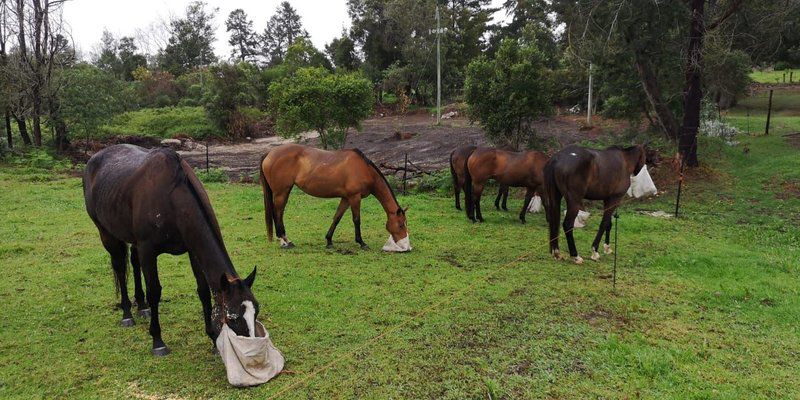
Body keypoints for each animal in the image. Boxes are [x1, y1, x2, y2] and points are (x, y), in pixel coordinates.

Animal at [81, 145, 258, 356]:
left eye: (256, 310)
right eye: (232, 317)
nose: (251, 350)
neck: (172, 200)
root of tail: (93, 160)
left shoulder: (192, 251)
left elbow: (203, 291)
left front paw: (212, 339)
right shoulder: (148, 250)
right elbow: (154, 291)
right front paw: (157, 341)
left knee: (133, 261)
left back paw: (142, 306)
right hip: (106, 234)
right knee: (120, 268)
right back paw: (127, 314)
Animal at [260, 143, 412, 250]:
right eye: (400, 224)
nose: (405, 245)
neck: (364, 169)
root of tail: (269, 153)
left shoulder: (346, 198)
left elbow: (337, 218)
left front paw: (329, 241)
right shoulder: (355, 197)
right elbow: (356, 220)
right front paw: (361, 243)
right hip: (281, 192)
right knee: (278, 214)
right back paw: (284, 241)